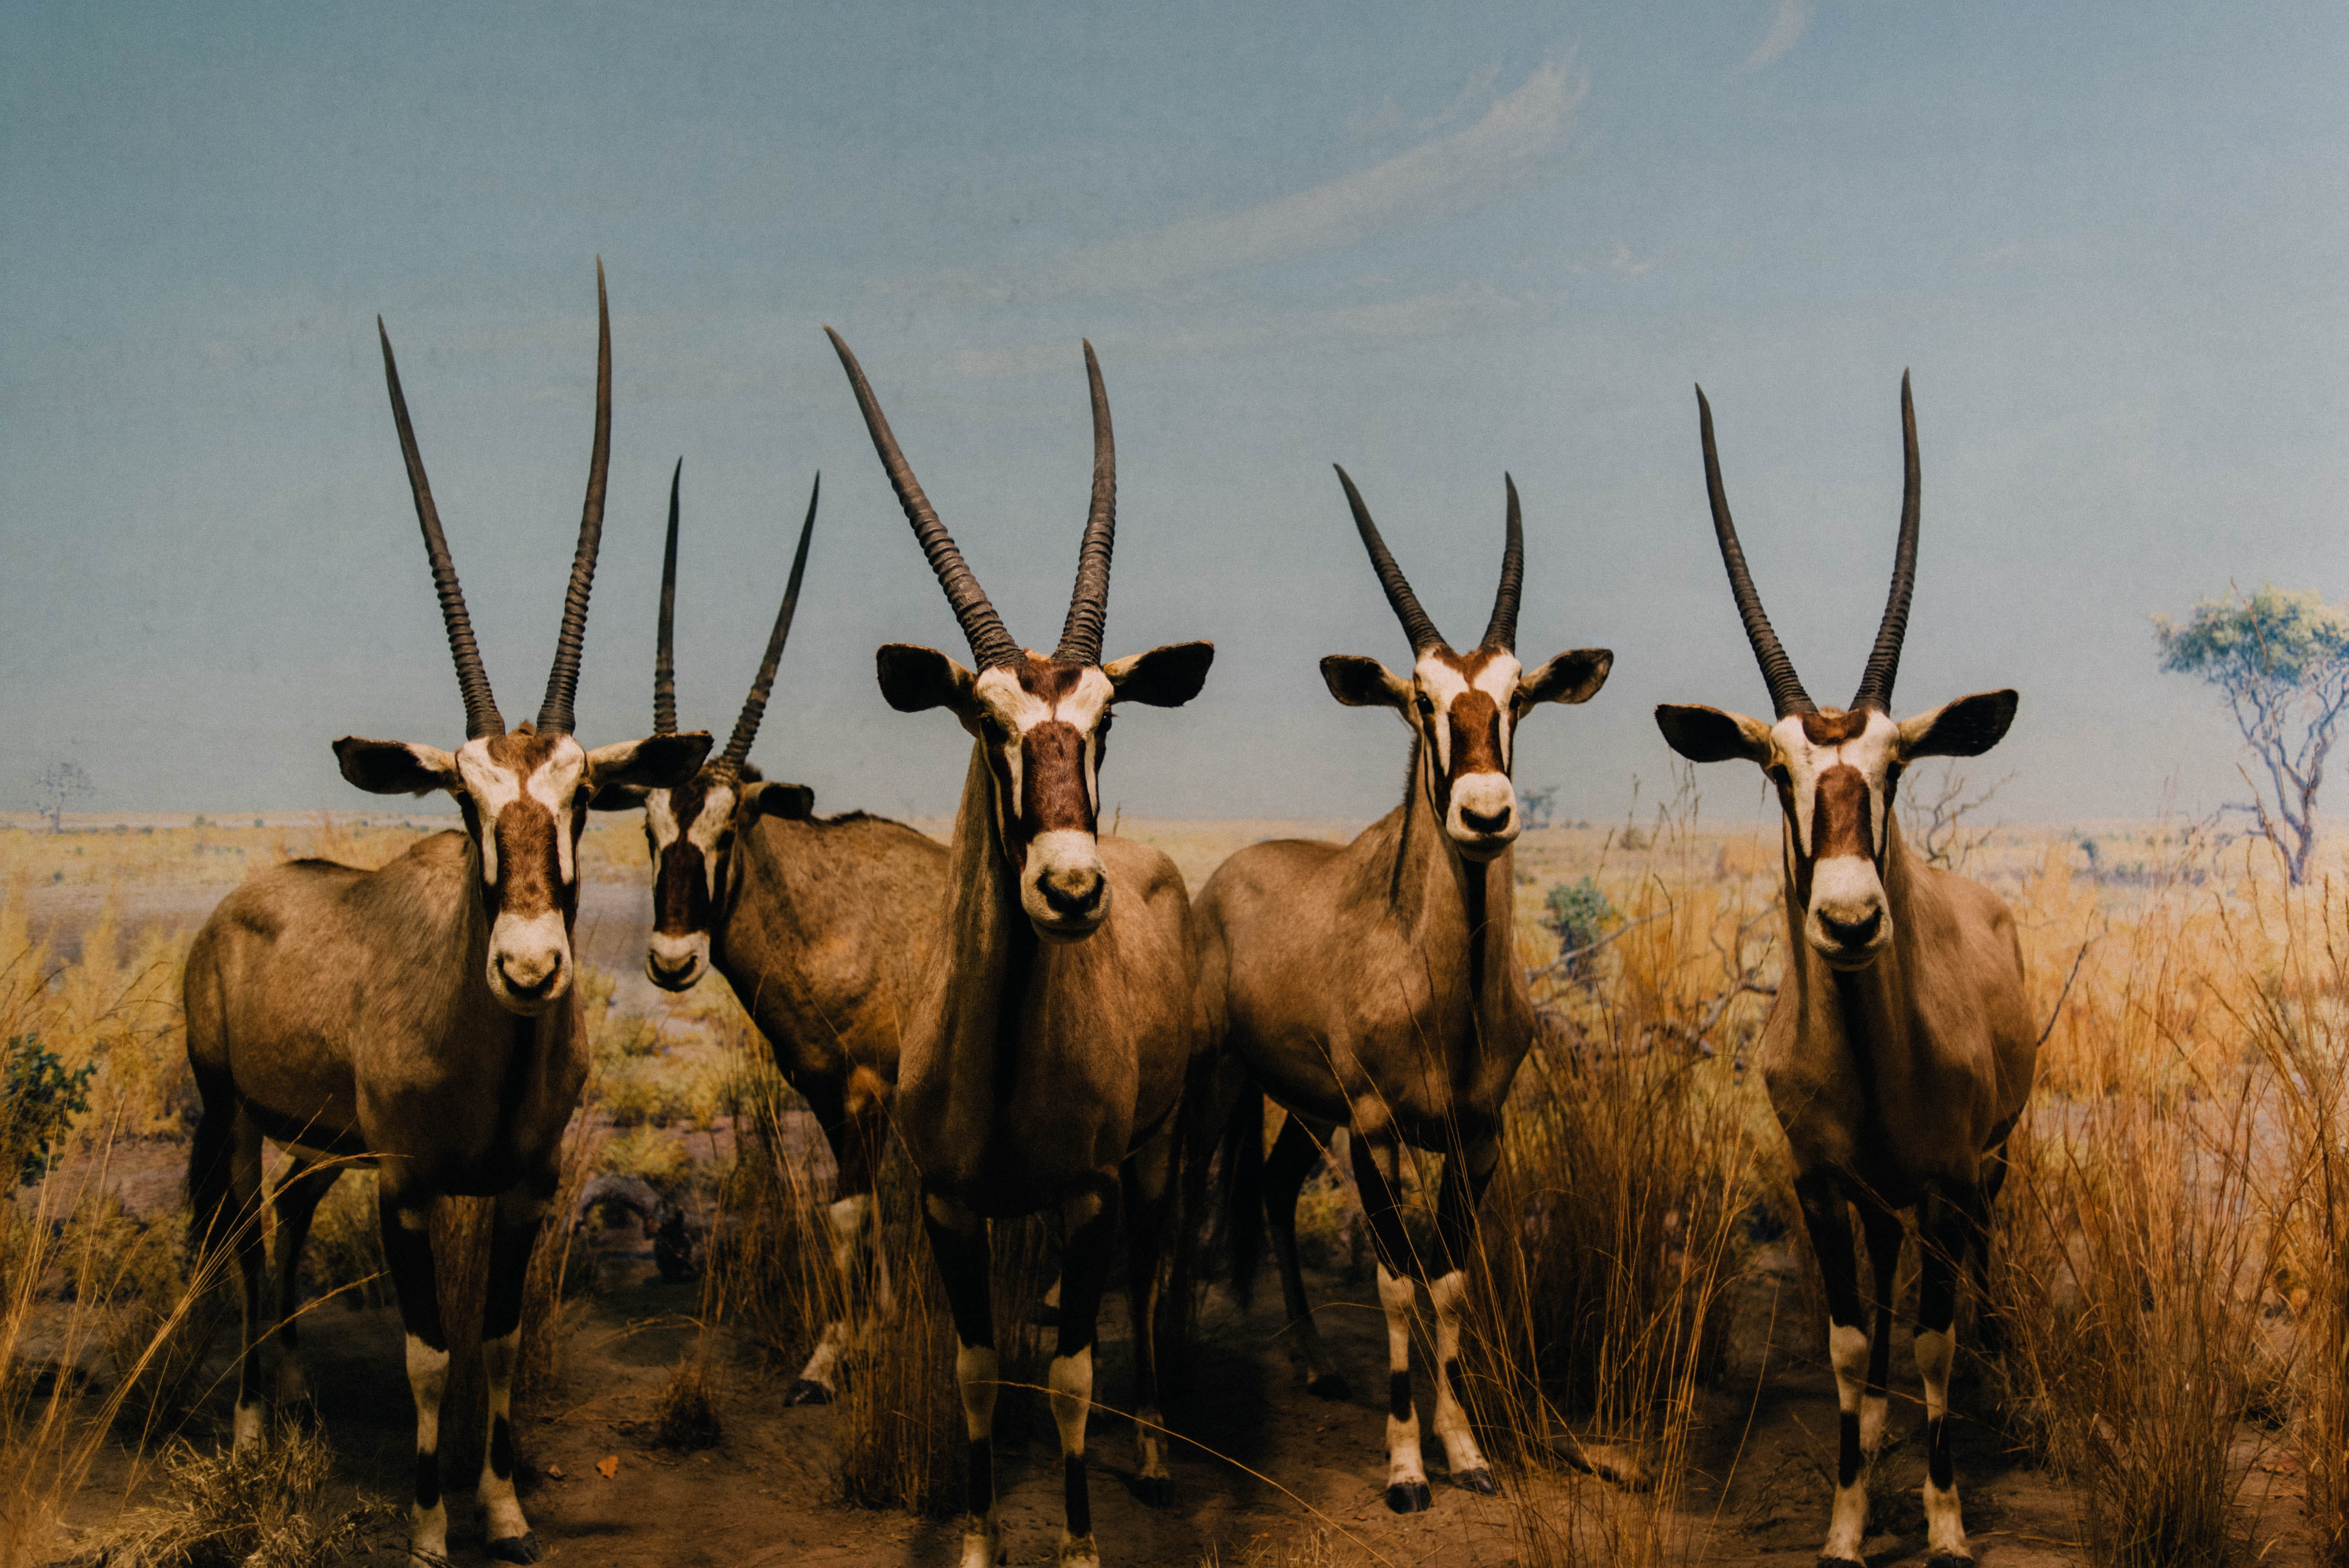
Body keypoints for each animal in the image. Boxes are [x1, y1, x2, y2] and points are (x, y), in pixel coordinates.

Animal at [185, 267, 710, 1566]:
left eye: (582, 798)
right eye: (462, 798)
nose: (527, 967)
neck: (496, 1049)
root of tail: (238, 906)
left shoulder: (519, 1186)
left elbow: (504, 1341)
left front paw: (507, 1509)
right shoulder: (411, 1187)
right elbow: (430, 1355)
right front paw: (428, 1527)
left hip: (316, 1142)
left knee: (282, 1230)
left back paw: (290, 1396)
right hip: (232, 1115)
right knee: (238, 1249)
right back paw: (248, 1428)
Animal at [593, 460, 948, 1405]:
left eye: (730, 830)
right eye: (647, 828)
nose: (672, 960)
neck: (824, 920)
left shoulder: (866, 1095)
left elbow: (854, 1214)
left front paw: (831, 1361)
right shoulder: (824, 1091)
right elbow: (856, 1216)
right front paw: (864, 1339)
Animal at [828, 327, 1213, 1568]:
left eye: (1105, 720)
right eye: (985, 720)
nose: (1070, 888)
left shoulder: (1090, 1194)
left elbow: (1075, 1372)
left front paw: (1081, 1544)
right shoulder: (949, 1205)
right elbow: (980, 1369)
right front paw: (978, 1538)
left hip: (1155, 1155)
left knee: (1148, 1284)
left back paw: (1155, 1454)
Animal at [1196, 469, 1612, 1513]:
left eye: (1518, 697)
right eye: (1419, 698)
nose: (1485, 813)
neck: (1443, 999)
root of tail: (1224, 877)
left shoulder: (1475, 1135)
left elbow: (1451, 1279)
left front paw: (1463, 1451)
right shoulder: (1378, 1131)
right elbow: (1393, 1281)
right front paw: (1403, 1467)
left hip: (1309, 1109)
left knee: (1270, 1188)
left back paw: (1313, 1362)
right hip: (1232, 1090)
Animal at [1652, 375, 2032, 1568]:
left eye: (1893, 763)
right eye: (1778, 766)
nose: (1852, 918)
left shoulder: (1950, 1183)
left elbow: (1933, 1345)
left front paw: (1947, 1526)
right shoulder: (1821, 1185)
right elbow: (1854, 1348)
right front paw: (1844, 1525)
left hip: (1988, 1166)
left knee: (1983, 1280)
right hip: (1879, 1200)